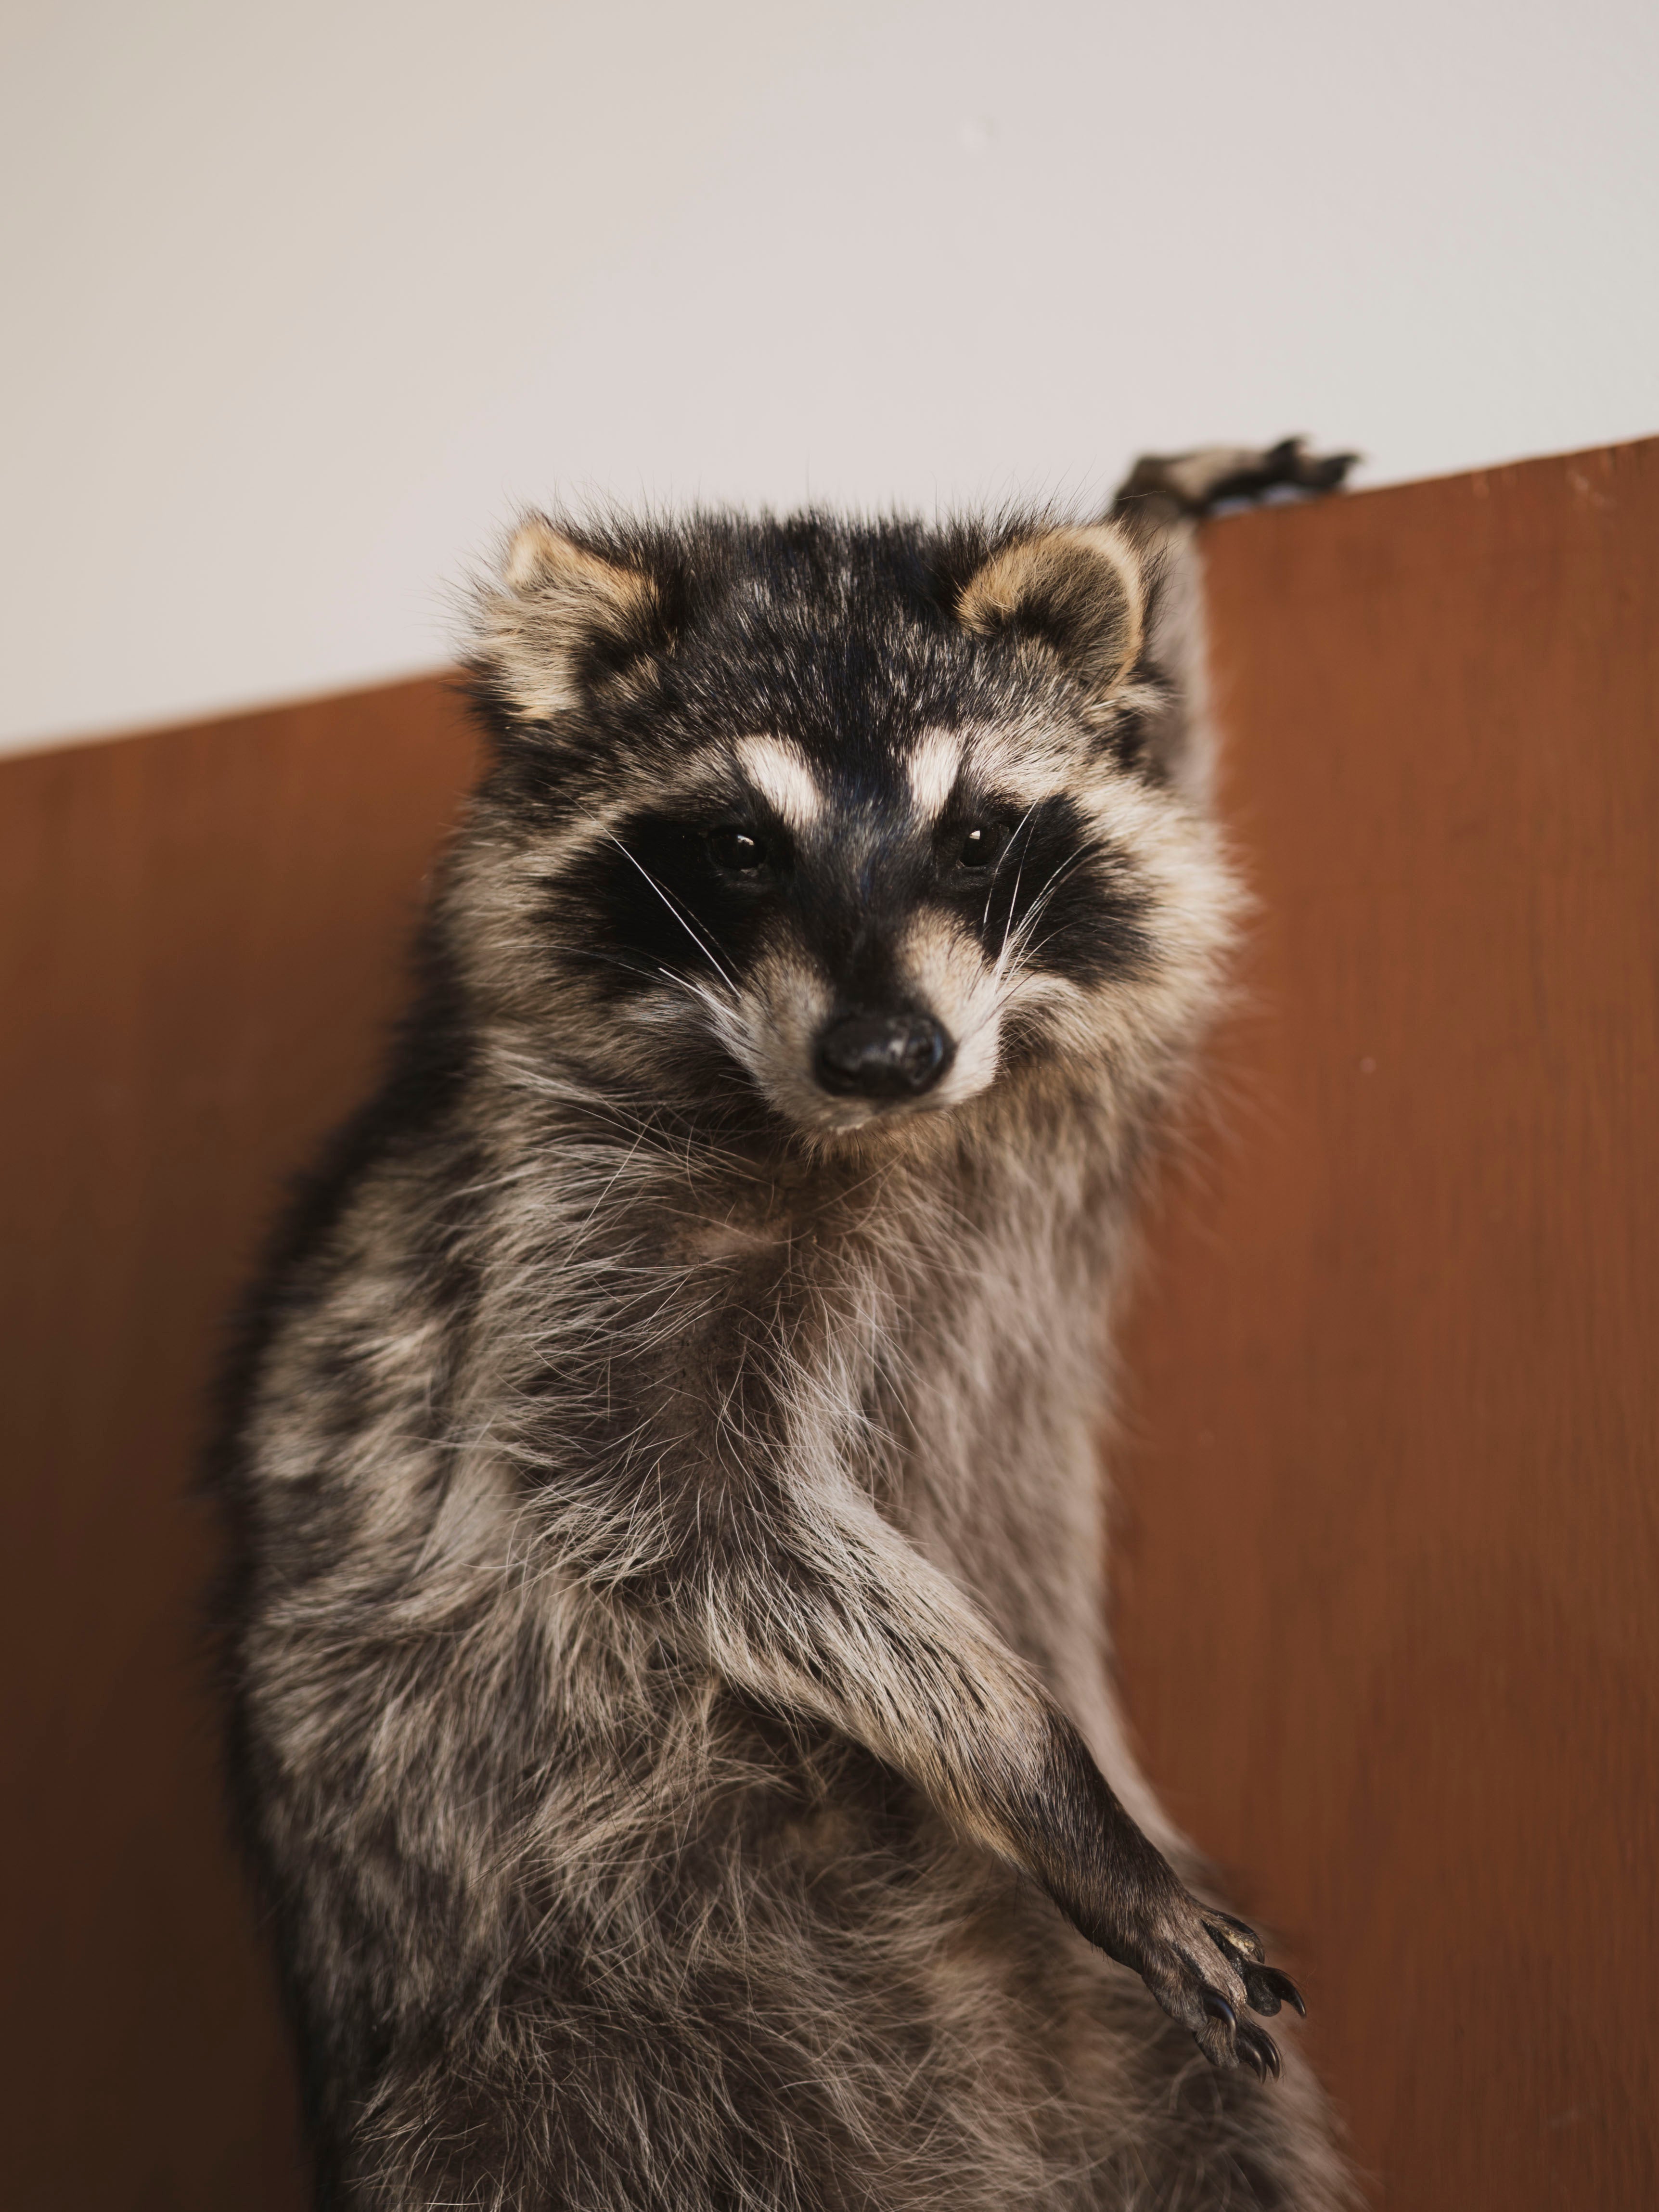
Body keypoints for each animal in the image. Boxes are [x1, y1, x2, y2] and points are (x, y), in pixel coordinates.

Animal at [213, 440, 1358, 2210]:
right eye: (742, 843)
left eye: (975, 833)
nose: (886, 1051)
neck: (873, 1128)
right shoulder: (562, 1223)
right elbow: (664, 1485)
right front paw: (1036, 1766)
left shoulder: (1051, 1098)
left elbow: (1166, 795)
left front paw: (1156, 542)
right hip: (562, 2051)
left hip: (1150, 2080)